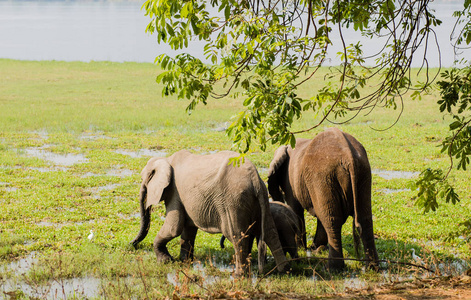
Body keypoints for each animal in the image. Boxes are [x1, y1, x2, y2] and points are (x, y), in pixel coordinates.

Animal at [131, 149, 290, 276]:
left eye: (144, 183)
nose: (132, 245)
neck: (166, 159)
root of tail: (255, 178)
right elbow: (188, 229)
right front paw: (185, 262)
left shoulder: (175, 192)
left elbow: (173, 227)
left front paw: (165, 261)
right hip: (259, 198)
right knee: (269, 231)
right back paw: (284, 271)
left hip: (233, 201)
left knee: (237, 236)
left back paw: (239, 275)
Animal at [270, 126, 380, 270]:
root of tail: (348, 156)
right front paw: (313, 248)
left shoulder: (291, 181)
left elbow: (296, 210)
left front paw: (303, 248)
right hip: (363, 174)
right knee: (364, 218)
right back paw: (372, 267)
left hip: (323, 177)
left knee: (331, 219)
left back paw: (332, 268)